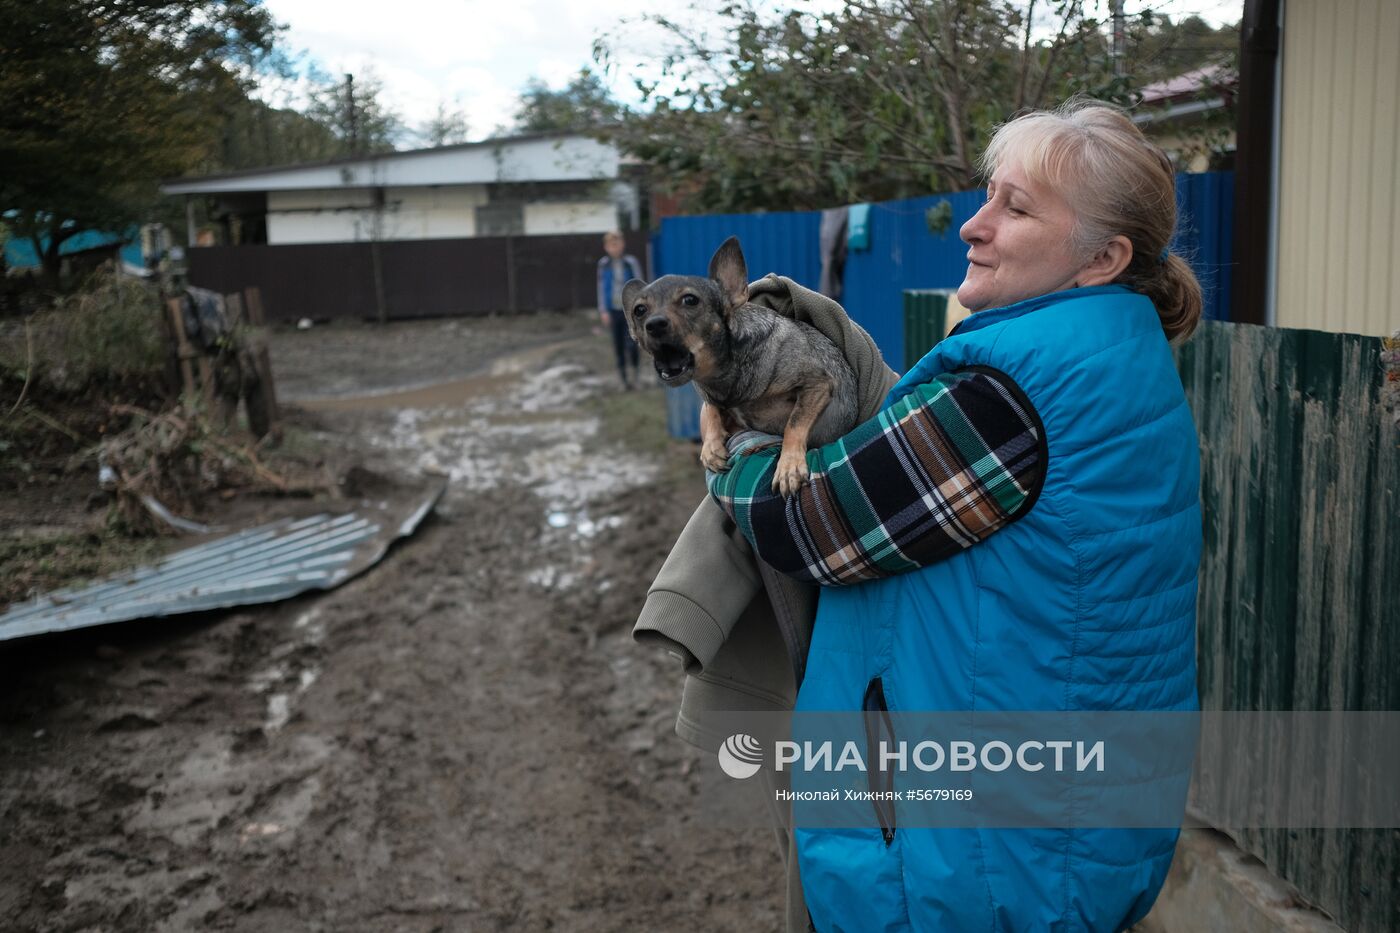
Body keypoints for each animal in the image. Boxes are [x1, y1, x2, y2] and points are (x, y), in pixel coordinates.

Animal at [621, 233, 851, 493]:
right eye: (639, 310)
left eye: (690, 300)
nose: (654, 324)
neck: (723, 379)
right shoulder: (713, 398)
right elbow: (712, 409)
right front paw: (711, 446)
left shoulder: (817, 384)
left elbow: (794, 423)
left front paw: (789, 465)